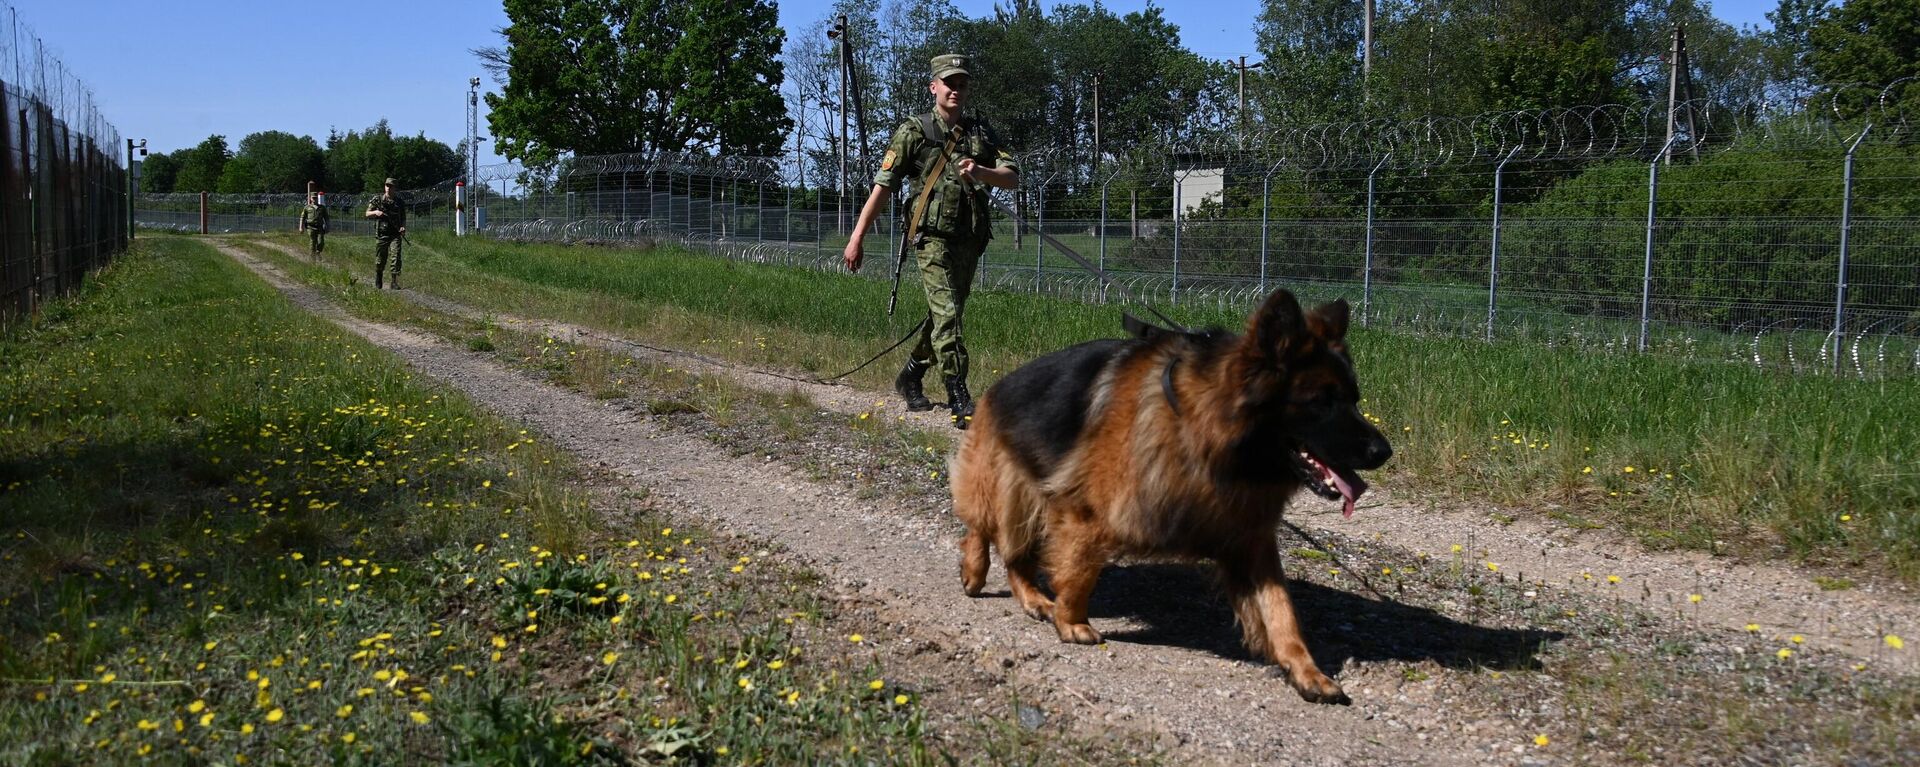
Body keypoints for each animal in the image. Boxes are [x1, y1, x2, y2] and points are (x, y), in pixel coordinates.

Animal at [840, 51, 1021, 428]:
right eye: (947, 82)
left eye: (960, 82)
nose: (955, 90)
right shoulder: (904, 137)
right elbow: (886, 183)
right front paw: (959, 398)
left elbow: (1009, 169)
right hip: (937, 254)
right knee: (945, 313)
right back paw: (912, 388)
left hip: (965, 266)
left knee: (943, 314)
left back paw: (910, 383)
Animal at [948, 292, 1390, 707]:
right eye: (1320, 401)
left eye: (1354, 398)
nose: (1383, 452)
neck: (1203, 428)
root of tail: (997, 386)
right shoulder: (1089, 513)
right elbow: (1081, 571)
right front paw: (1070, 621)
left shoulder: (1249, 538)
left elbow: (1280, 609)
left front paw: (1305, 669)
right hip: (1008, 487)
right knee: (983, 530)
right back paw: (976, 571)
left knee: (1015, 555)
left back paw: (1030, 597)